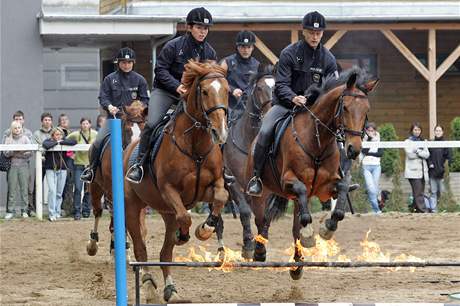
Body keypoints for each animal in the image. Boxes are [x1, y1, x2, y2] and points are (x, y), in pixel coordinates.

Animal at [85, 100, 146, 256]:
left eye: (144, 130)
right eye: (128, 131)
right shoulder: (111, 192)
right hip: (96, 188)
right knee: (98, 212)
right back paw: (93, 245)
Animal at [123, 60, 229, 304]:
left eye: (227, 91)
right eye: (205, 91)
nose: (220, 133)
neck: (195, 144)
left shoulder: (209, 188)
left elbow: (221, 198)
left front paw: (205, 229)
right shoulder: (169, 191)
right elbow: (185, 217)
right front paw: (186, 235)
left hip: (165, 212)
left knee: (165, 253)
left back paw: (171, 290)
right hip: (133, 207)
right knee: (141, 250)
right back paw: (149, 286)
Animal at [222, 64, 274, 258]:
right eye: (259, 88)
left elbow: (265, 216)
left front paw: (261, 245)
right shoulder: (233, 182)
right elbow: (245, 212)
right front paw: (249, 246)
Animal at [244, 67, 378, 280]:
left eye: (366, 110)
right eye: (345, 108)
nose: (353, 149)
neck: (318, 142)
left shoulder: (326, 187)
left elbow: (341, 192)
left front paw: (327, 228)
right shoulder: (288, 181)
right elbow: (301, 196)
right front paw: (309, 234)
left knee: (291, 227)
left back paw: (297, 265)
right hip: (261, 190)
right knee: (262, 219)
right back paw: (259, 252)